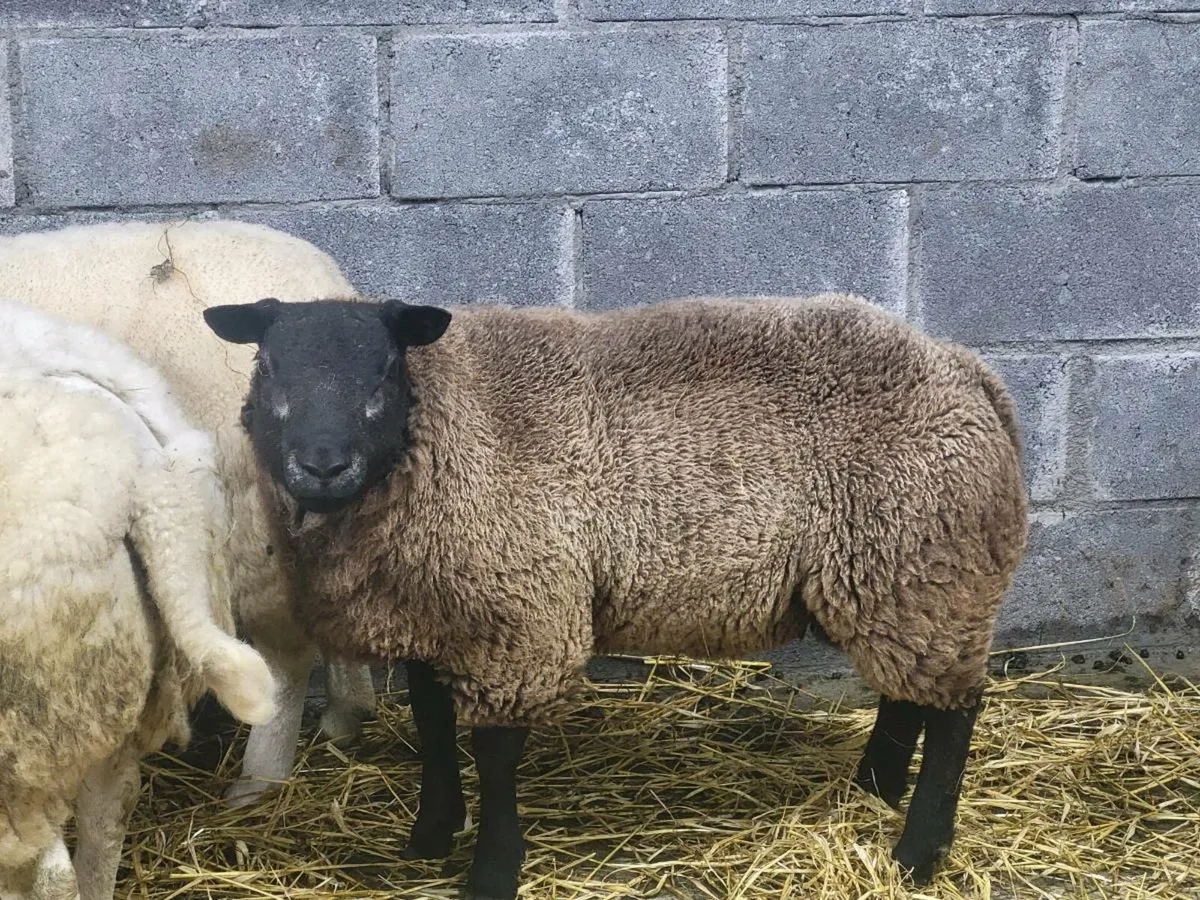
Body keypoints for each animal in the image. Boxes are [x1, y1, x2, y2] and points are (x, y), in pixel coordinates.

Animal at [203, 292, 1030, 899]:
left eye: (381, 372)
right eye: (269, 368)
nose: (322, 464)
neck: (444, 426)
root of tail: (967, 370)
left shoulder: (519, 617)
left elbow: (495, 754)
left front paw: (491, 871)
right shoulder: (435, 618)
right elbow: (434, 732)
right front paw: (430, 836)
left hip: (924, 560)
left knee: (955, 711)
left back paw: (919, 849)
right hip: (896, 578)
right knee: (907, 692)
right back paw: (875, 788)